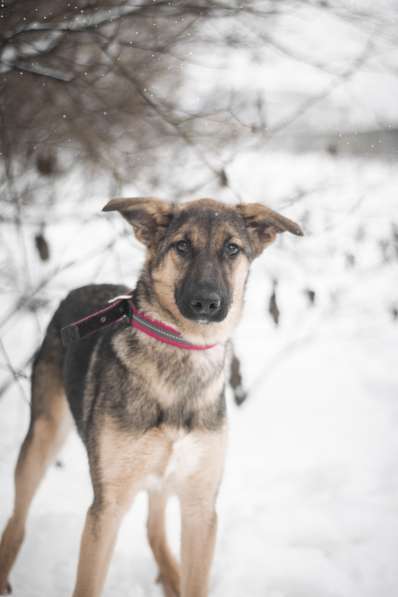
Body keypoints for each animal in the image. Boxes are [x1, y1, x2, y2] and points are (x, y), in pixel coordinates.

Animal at [0, 197, 302, 596]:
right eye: (182, 246)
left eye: (232, 249)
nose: (206, 303)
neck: (182, 354)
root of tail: (78, 290)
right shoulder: (107, 508)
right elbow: (88, 584)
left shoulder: (200, 507)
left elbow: (195, 579)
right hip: (44, 436)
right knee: (18, 518)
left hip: (162, 475)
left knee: (154, 527)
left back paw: (170, 574)